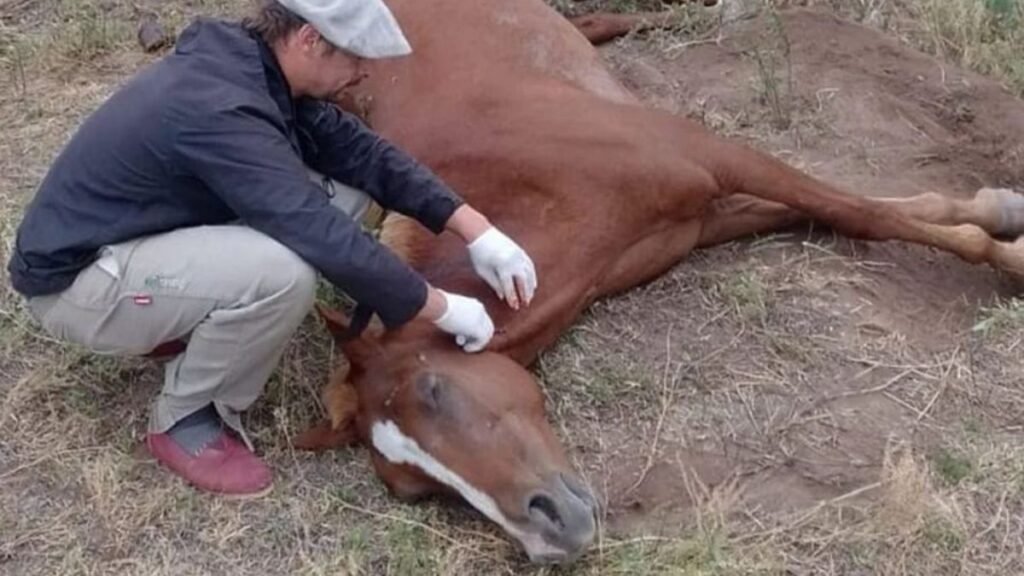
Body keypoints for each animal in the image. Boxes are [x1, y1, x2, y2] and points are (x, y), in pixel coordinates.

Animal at [293, 0, 1024, 564]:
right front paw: (994, 218)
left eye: (435, 390)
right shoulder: (705, 215)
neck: (533, 180)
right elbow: (857, 213)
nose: (550, 535)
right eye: (414, 490)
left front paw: (1005, 236)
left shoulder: (711, 157)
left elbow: (862, 211)